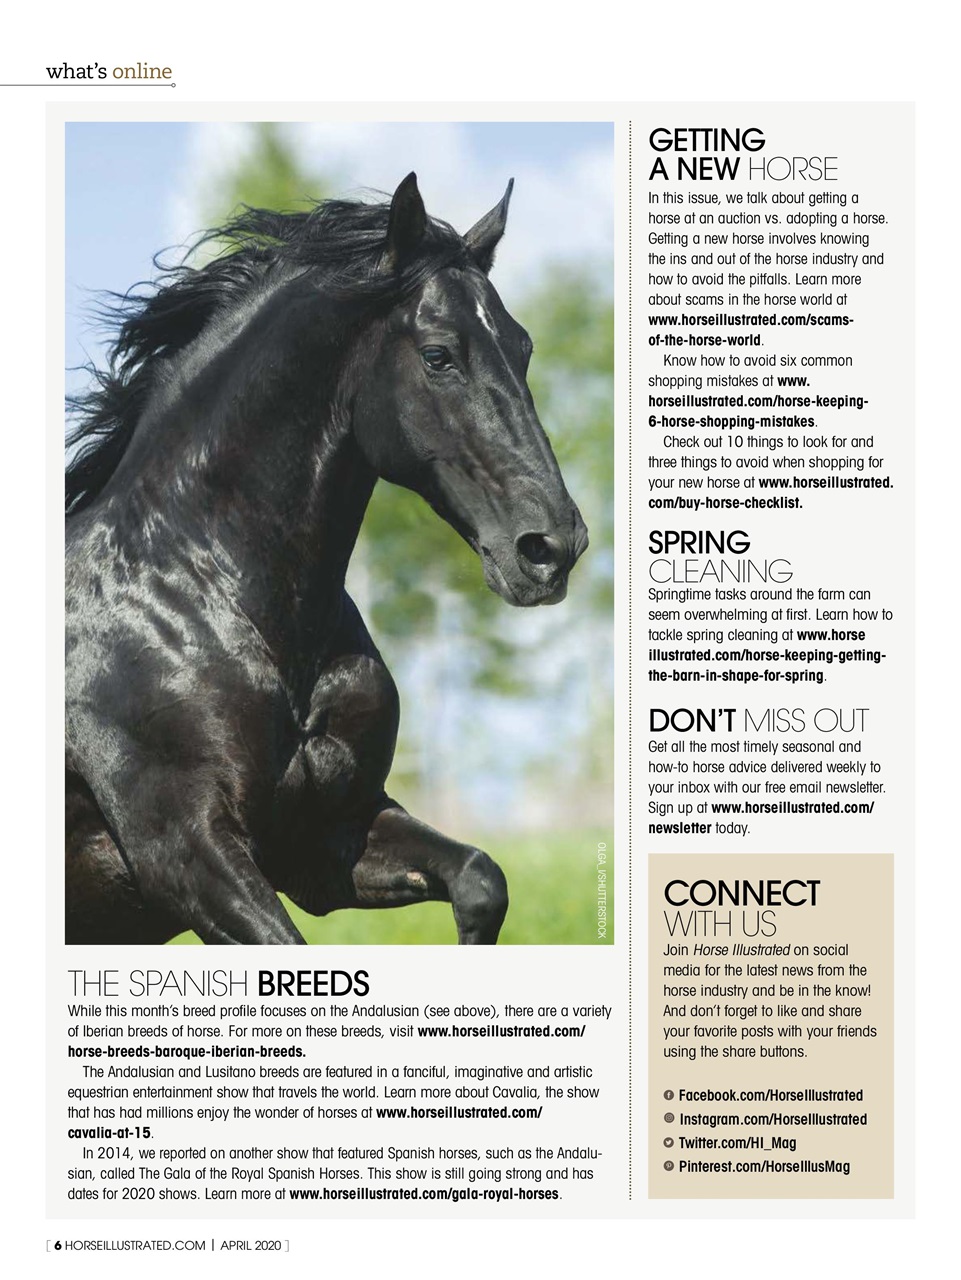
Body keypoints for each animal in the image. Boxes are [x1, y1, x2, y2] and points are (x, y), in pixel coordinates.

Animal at [65, 173, 588, 945]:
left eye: (521, 349)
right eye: (439, 355)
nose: (551, 548)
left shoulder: (323, 840)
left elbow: (479, 880)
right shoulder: (184, 854)